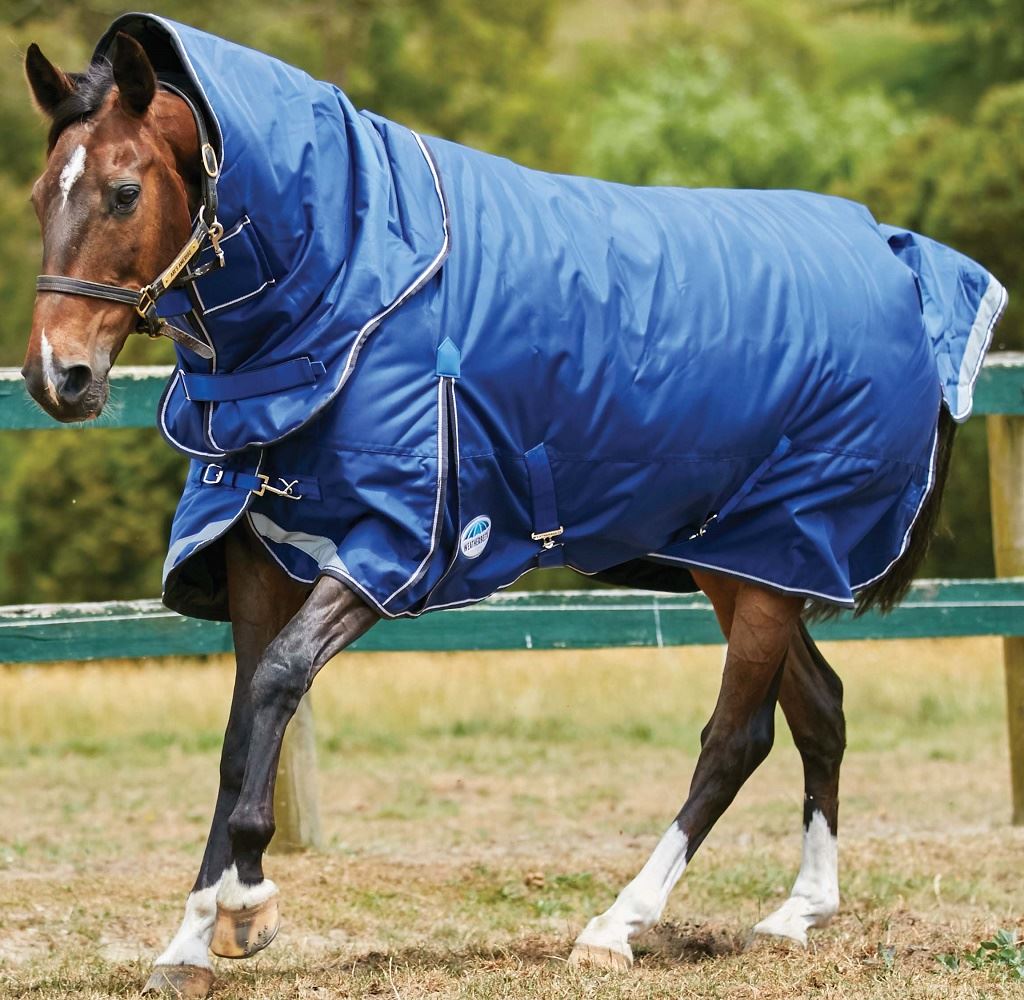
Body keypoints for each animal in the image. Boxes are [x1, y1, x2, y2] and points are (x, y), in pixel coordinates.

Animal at [21, 17, 1005, 997]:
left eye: (123, 192)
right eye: (39, 197)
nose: (56, 376)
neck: (353, 283)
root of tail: (898, 258)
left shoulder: (393, 545)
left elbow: (277, 685)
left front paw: (246, 904)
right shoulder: (261, 548)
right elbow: (241, 727)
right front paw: (191, 938)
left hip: (778, 552)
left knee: (737, 736)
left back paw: (617, 924)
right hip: (743, 557)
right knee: (820, 710)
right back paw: (799, 913)